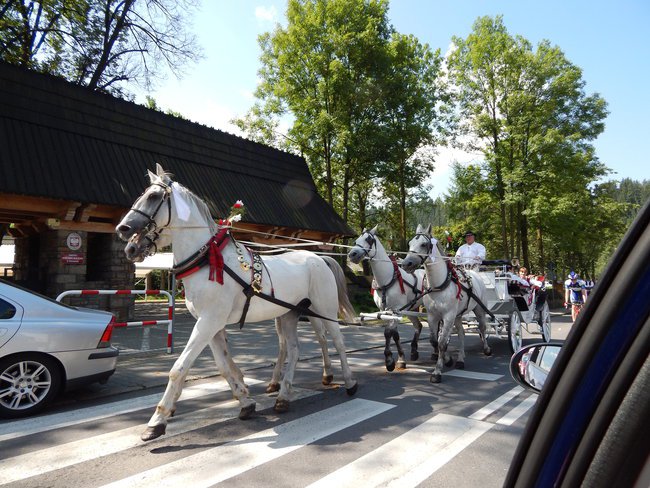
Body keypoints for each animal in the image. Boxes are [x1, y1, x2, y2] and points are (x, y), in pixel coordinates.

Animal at [113, 165, 352, 442]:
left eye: (152, 196)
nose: (123, 229)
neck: (206, 258)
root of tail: (319, 258)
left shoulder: (208, 322)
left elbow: (179, 367)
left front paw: (157, 421)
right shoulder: (211, 324)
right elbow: (224, 367)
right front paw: (246, 401)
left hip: (323, 310)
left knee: (337, 342)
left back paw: (349, 382)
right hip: (288, 314)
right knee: (293, 350)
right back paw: (283, 396)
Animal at [346, 227, 432, 372]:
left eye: (369, 240)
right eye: (356, 240)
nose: (352, 254)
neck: (387, 279)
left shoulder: (395, 310)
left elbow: (388, 333)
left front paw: (390, 360)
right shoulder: (386, 311)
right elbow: (394, 334)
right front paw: (400, 359)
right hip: (412, 308)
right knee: (418, 326)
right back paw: (414, 351)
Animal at [398, 226, 488, 386]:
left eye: (424, 244)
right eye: (409, 243)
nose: (406, 264)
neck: (439, 285)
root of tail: (473, 272)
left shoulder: (448, 316)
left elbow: (441, 343)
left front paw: (437, 371)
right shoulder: (432, 316)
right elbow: (434, 341)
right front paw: (448, 360)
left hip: (478, 309)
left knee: (482, 327)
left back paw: (486, 348)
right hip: (458, 315)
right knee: (461, 333)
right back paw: (460, 359)